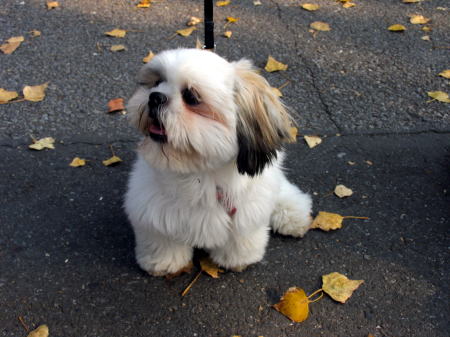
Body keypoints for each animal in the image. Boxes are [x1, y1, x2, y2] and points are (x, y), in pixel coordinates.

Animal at [124, 48, 312, 276]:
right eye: (157, 82)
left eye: (191, 97)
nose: (155, 97)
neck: (199, 174)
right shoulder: (153, 210)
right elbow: (163, 239)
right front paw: (164, 262)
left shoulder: (244, 214)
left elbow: (241, 239)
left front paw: (237, 259)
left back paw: (292, 214)